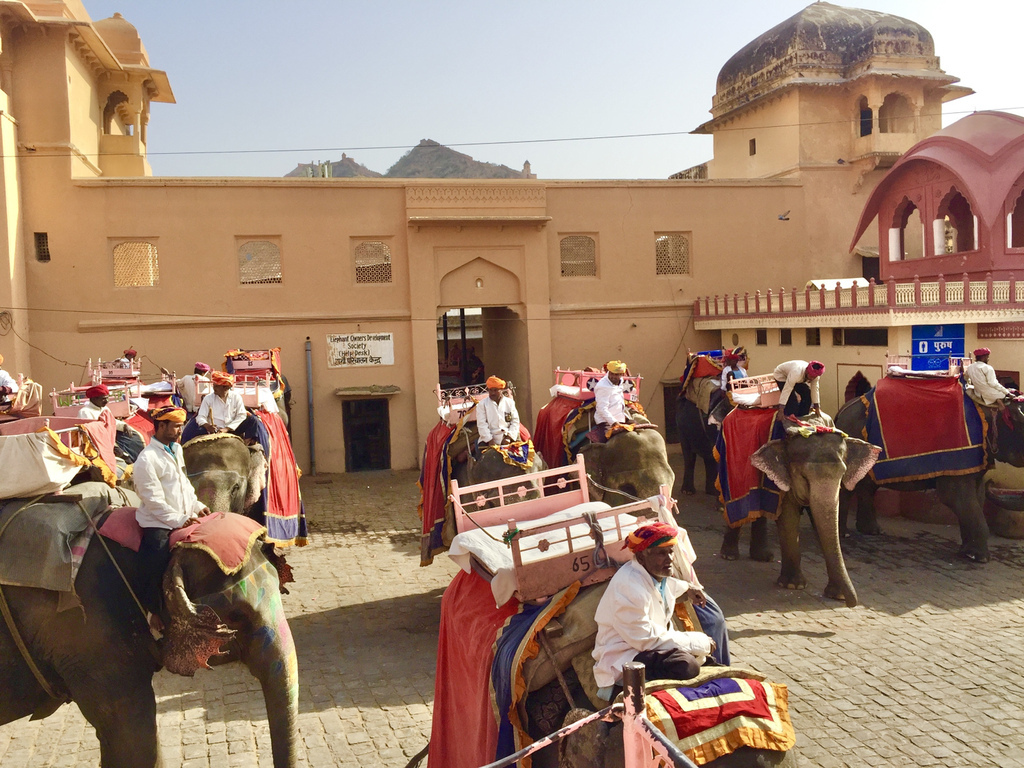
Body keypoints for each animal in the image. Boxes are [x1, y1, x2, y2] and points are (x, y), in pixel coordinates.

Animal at [720, 415, 880, 606]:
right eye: (804, 477)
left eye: (842, 475)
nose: (851, 604)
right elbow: (788, 518)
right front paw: (793, 585)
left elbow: (821, 522)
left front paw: (838, 595)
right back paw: (729, 556)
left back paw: (762, 557)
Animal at [835, 393, 1024, 561]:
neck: (990, 407)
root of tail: (841, 411)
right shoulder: (957, 455)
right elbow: (953, 496)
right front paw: (979, 558)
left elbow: (977, 495)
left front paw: (967, 552)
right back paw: (843, 534)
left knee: (867, 485)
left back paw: (872, 531)